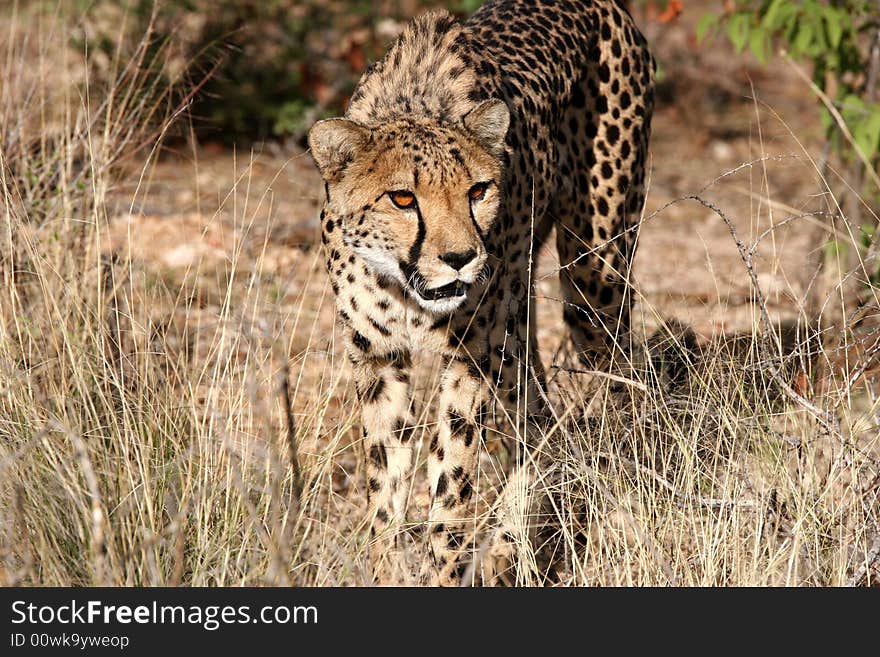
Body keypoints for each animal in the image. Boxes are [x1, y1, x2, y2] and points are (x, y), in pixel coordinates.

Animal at [310, 0, 652, 584]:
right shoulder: (379, 359)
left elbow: (451, 484)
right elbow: (385, 485)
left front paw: (446, 568)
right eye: (403, 198)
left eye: (477, 190)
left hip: (593, 281)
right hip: (516, 328)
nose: (461, 258)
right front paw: (387, 568)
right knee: (540, 417)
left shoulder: (470, 357)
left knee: (620, 385)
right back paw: (513, 544)